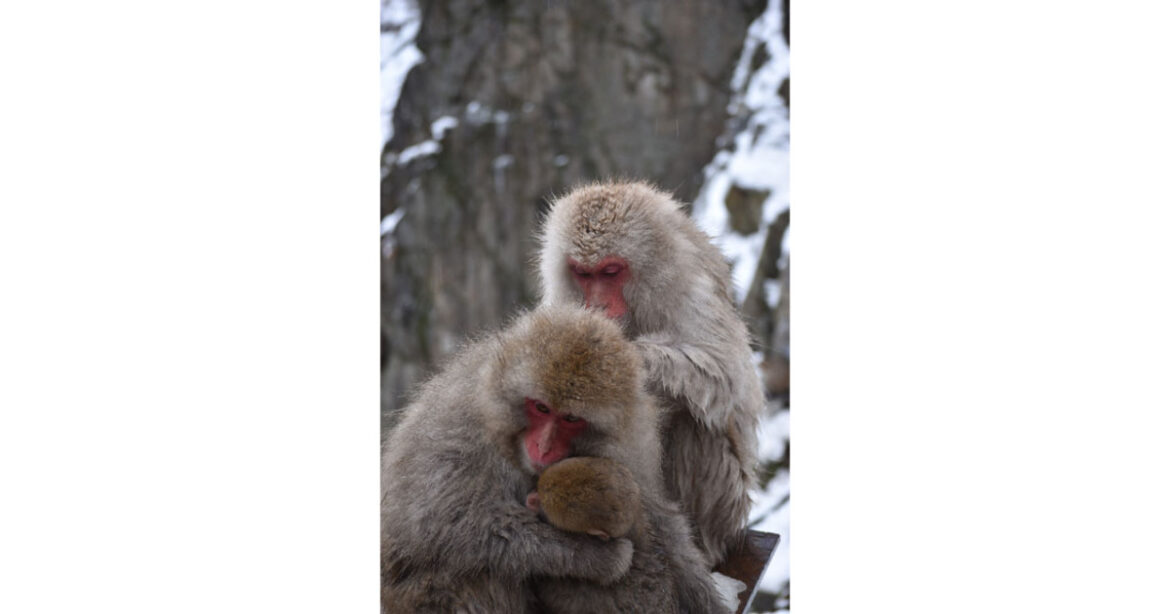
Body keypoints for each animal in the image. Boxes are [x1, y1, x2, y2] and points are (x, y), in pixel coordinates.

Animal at [383, 305, 719, 613]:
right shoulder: (459, 424)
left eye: (570, 418)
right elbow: (444, 524)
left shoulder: (634, 441)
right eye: (541, 408)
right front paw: (597, 558)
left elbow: (659, 517)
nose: (543, 447)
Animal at [537, 180, 765, 567]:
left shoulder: (691, 289)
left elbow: (723, 375)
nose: (598, 304)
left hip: (727, 507)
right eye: (583, 273)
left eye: (610, 272)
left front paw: (632, 357)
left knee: (694, 421)